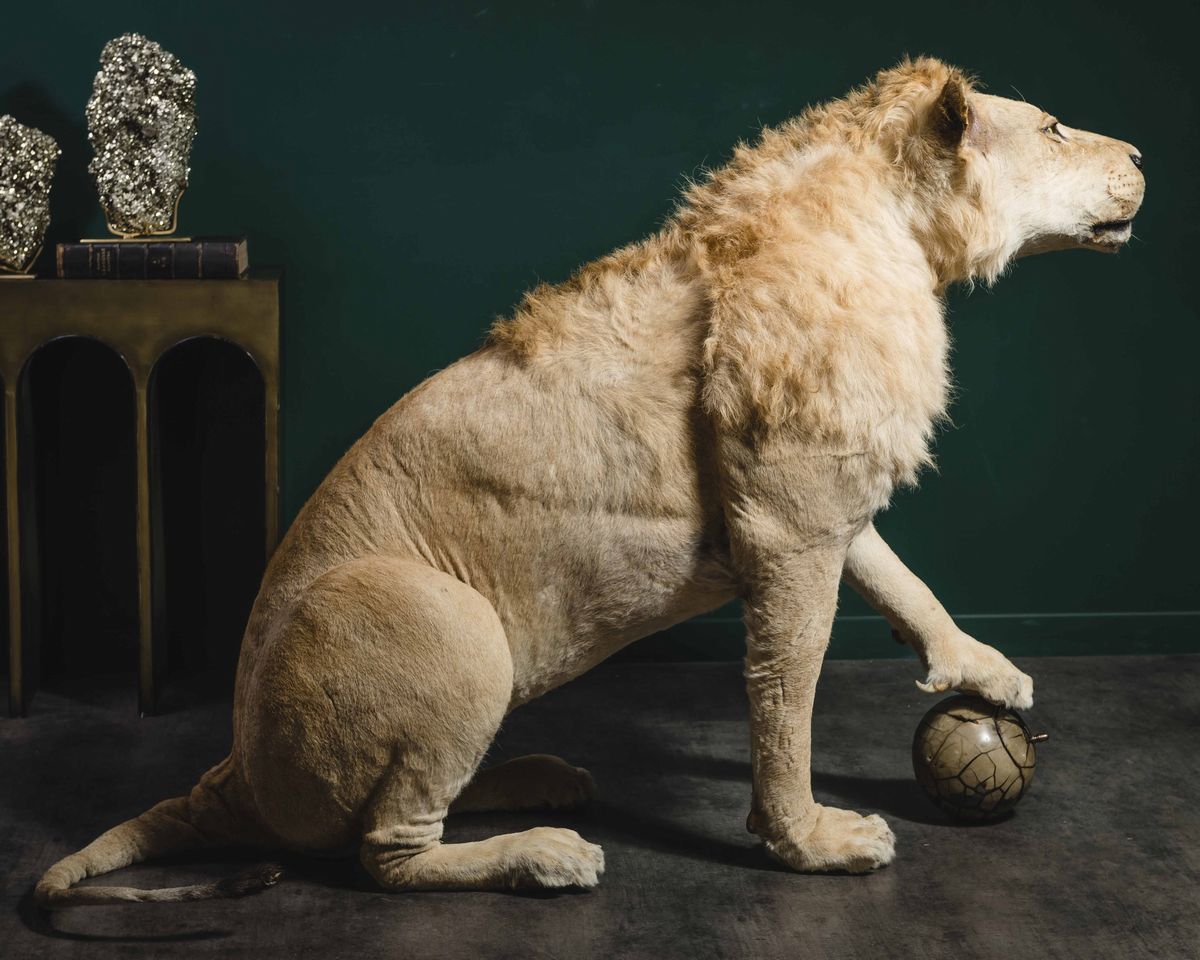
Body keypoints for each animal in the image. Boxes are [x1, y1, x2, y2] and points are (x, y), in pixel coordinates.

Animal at [36, 57, 1143, 903]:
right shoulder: (788, 529)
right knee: (384, 854)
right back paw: (543, 855)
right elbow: (786, 698)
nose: (1138, 156)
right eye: (1053, 128)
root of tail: (230, 776)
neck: (898, 232)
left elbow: (904, 579)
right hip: (450, 624)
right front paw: (809, 843)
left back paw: (536, 779)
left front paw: (983, 667)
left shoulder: (816, 492)